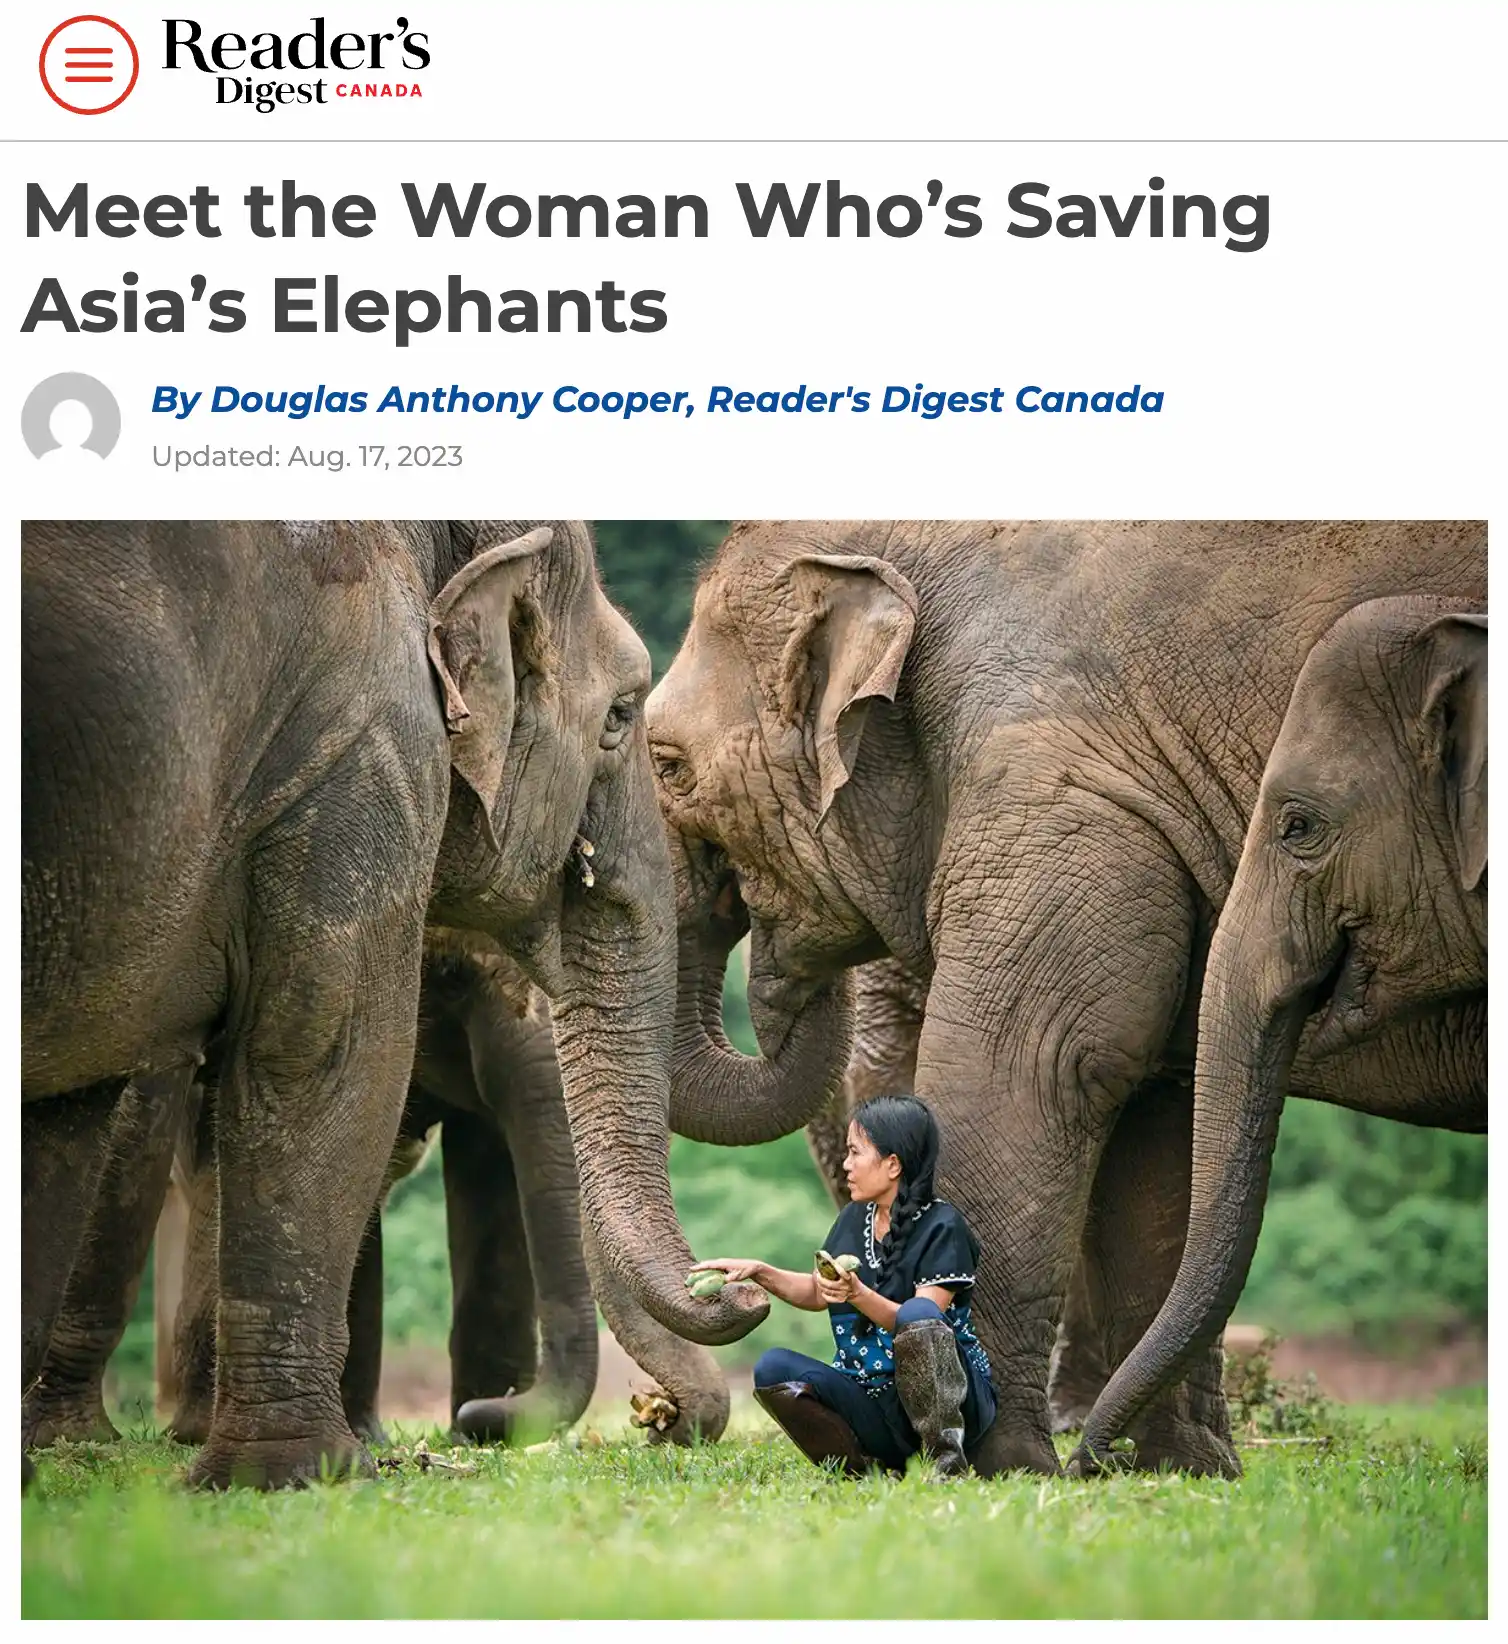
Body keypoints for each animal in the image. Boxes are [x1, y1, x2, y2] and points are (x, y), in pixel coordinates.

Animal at [22, 520, 763, 1488]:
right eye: (619, 715)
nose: (657, 1416)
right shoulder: (359, 744)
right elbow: (322, 1051)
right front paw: (297, 1473)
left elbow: (69, 1111)